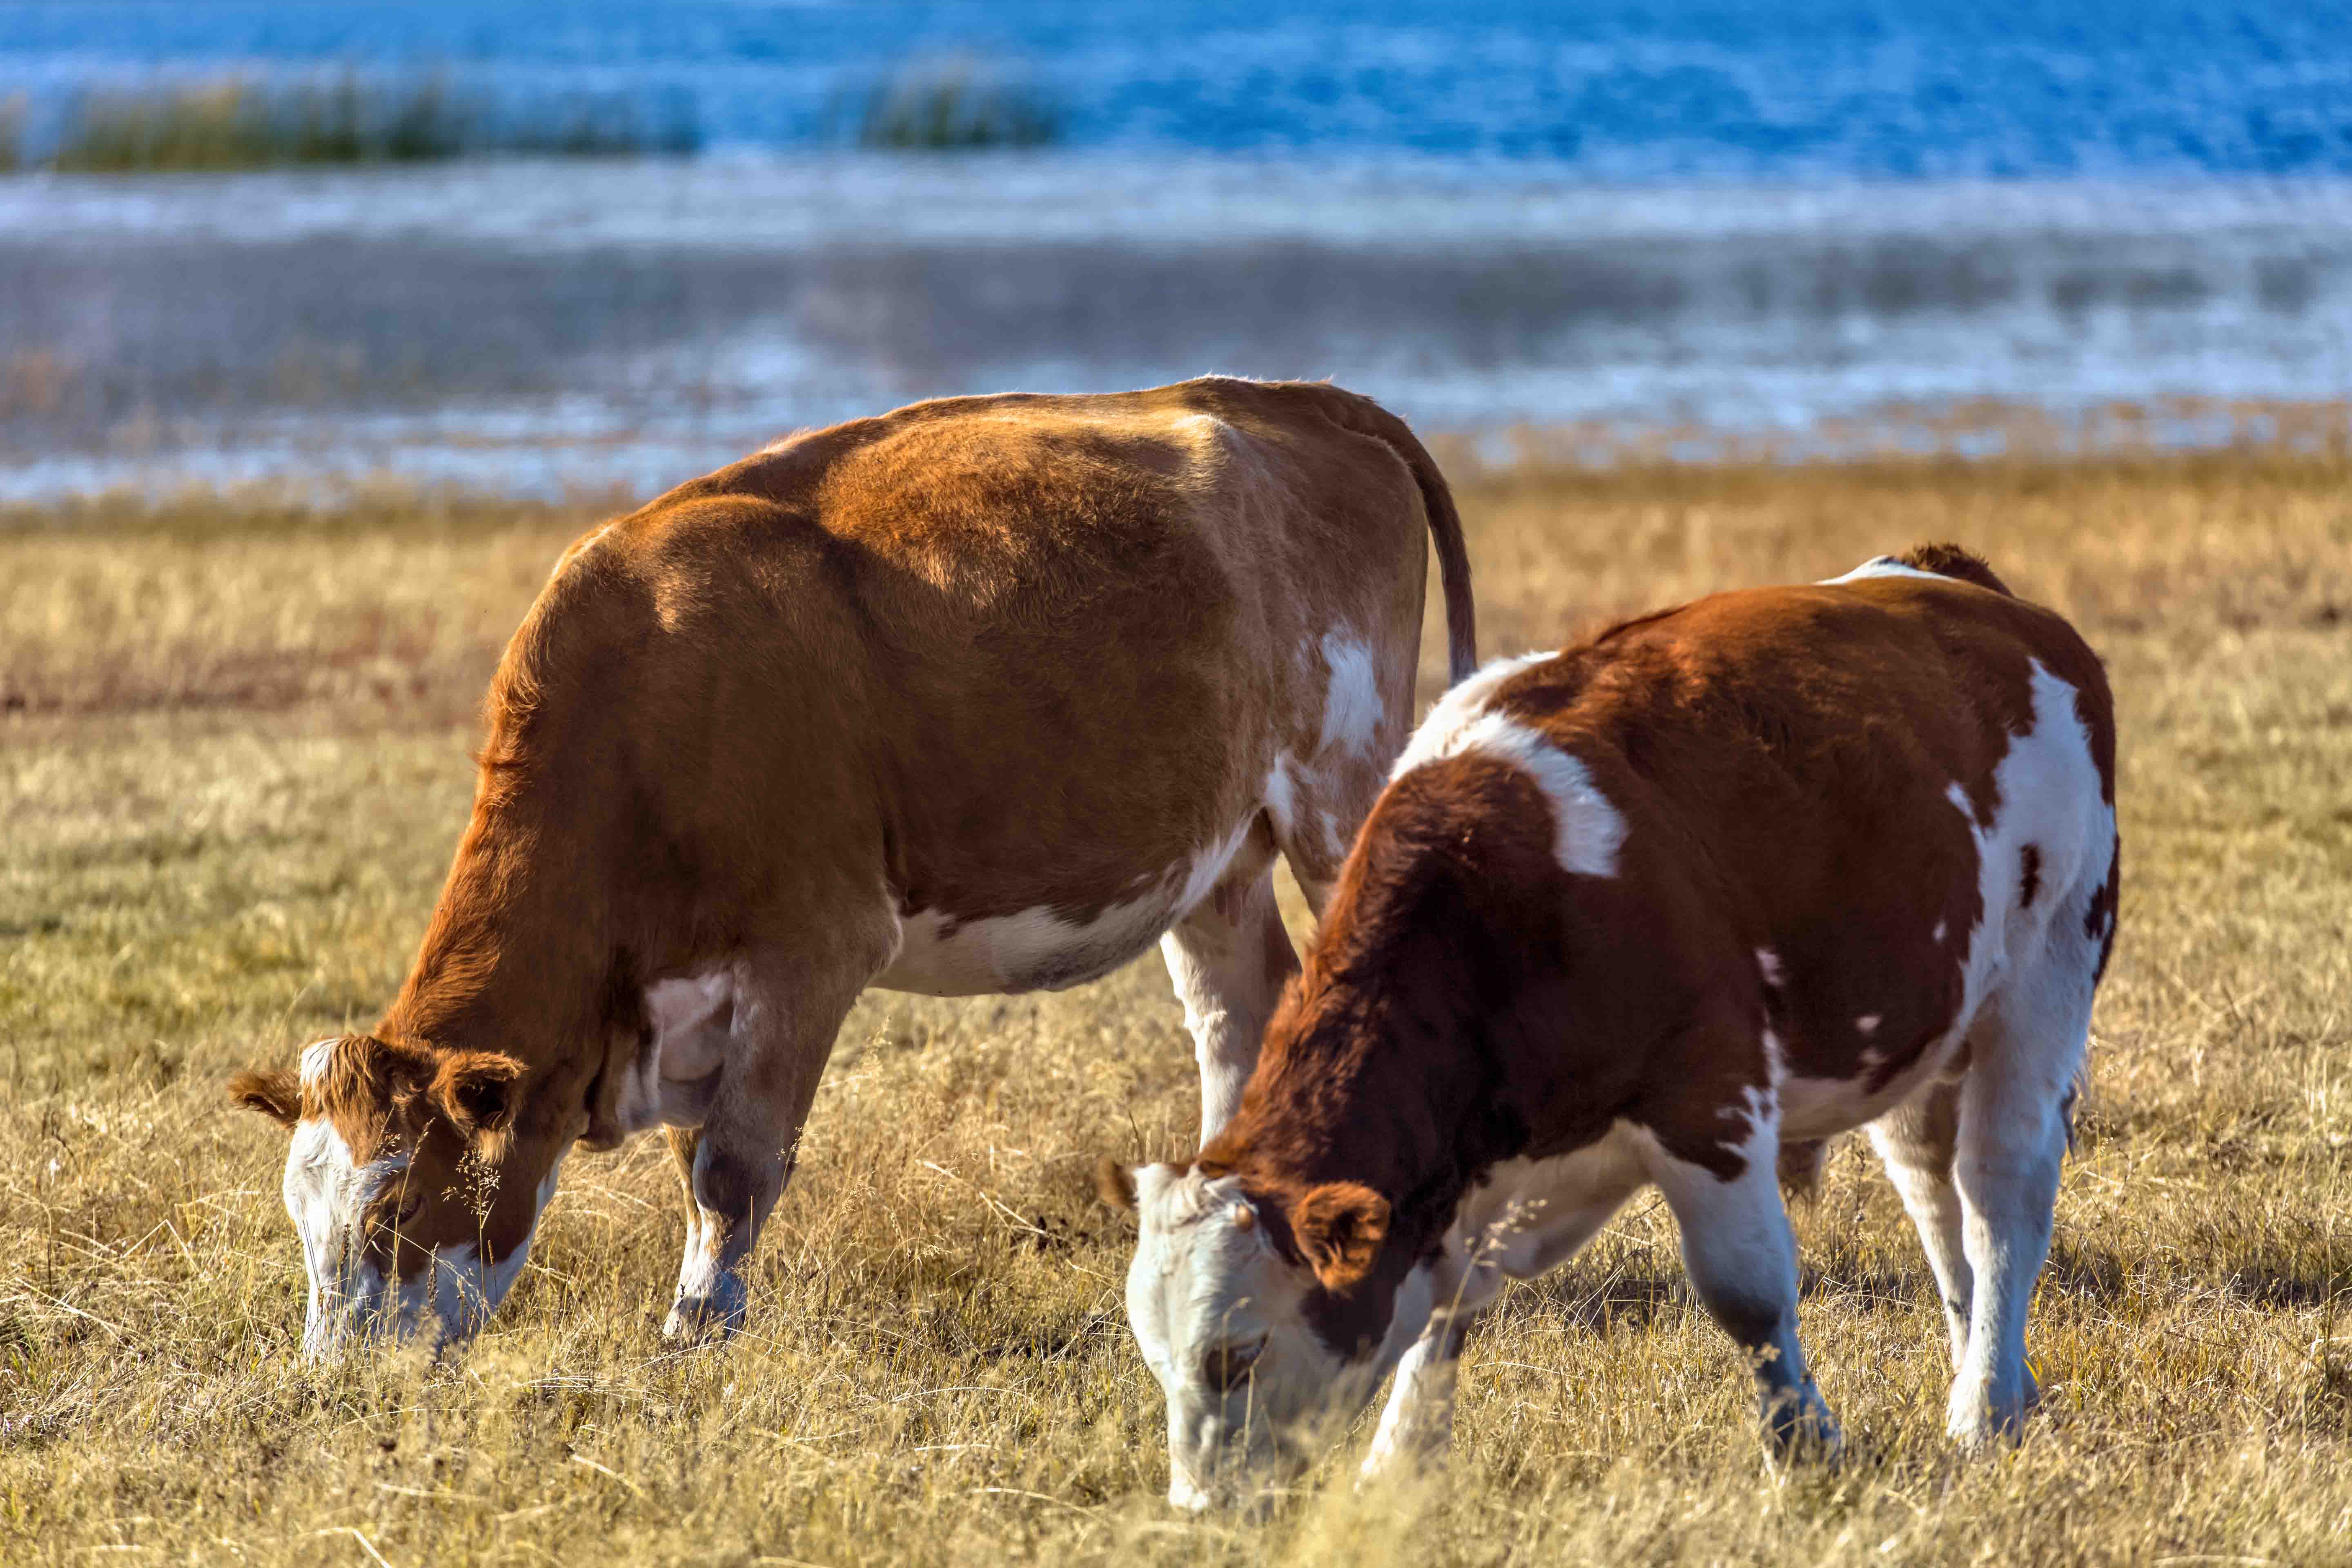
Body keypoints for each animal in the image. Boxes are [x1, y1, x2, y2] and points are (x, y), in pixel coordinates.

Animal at [221, 374, 1468, 1354]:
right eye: (298, 1218)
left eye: (394, 1213)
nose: (334, 1380)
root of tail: (1284, 398)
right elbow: (699, 1163)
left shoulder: (811, 951)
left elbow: (734, 1168)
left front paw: (694, 1337)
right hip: (1218, 853)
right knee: (1240, 1019)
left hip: (1343, 789)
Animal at [1100, 545, 2117, 1514]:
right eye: (1155, 1358)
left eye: (1236, 1354)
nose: (1200, 1511)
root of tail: (1952, 581)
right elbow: (1448, 1311)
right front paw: (1397, 1468)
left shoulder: (1708, 1100)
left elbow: (1748, 1297)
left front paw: (1804, 1453)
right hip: (1924, 1027)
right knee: (1934, 1191)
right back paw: (1991, 1375)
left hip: (2049, 974)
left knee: (2000, 1190)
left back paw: (1985, 1408)